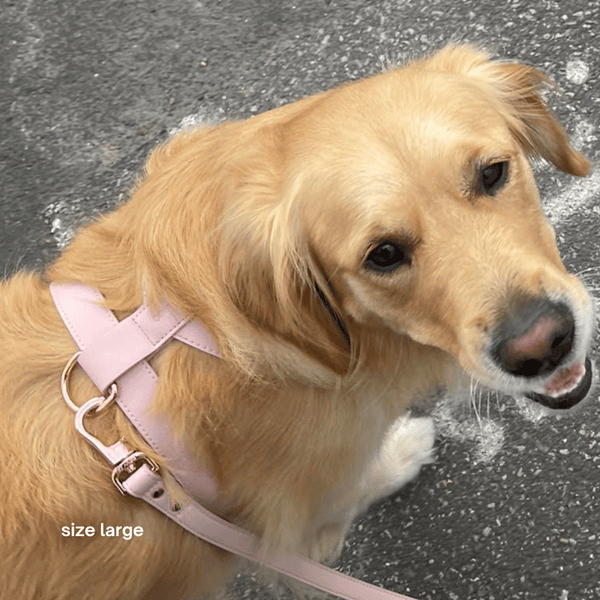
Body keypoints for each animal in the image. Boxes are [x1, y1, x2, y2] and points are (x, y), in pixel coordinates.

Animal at [0, 43, 596, 600]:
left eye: (492, 173)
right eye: (382, 254)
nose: (542, 345)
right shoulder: (304, 520)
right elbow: (350, 494)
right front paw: (401, 452)